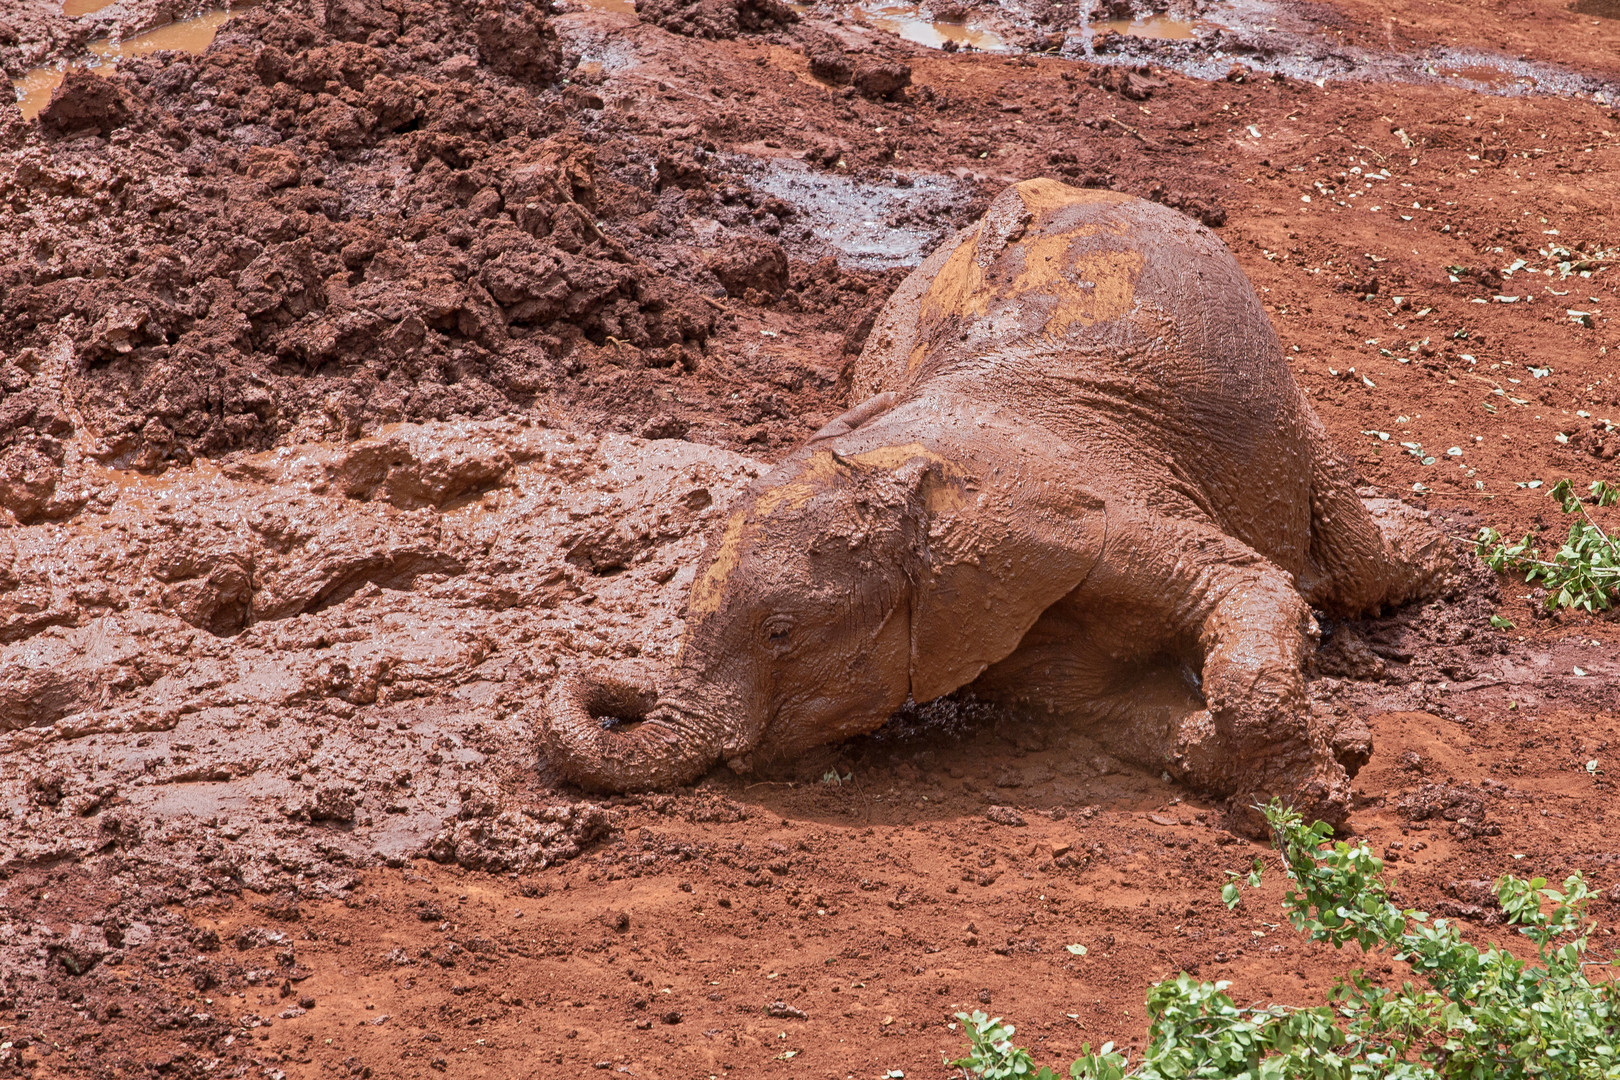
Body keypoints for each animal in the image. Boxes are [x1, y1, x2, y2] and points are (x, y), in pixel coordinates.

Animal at [537, 177, 1451, 829]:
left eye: (782, 634)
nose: (616, 692)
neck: (909, 468)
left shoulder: (1113, 502)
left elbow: (1251, 588)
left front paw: (1308, 808)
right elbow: (1111, 711)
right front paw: (1292, 751)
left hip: (1286, 399)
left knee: (1355, 567)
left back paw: (1435, 559)